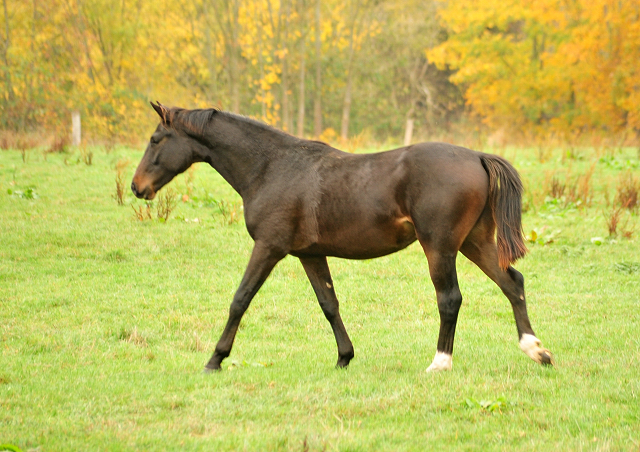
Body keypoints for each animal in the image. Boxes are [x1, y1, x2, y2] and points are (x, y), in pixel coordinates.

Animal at [132, 103, 552, 374]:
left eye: (155, 139)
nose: (137, 188)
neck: (271, 167)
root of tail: (477, 156)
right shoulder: (309, 254)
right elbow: (329, 304)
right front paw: (344, 357)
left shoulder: (269, 248)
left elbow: (240, 300)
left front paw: (215, 359)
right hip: (474, 243)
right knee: (512, 283)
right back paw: (536, 350)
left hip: (440, 247)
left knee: (450, 299)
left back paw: (440, 363)